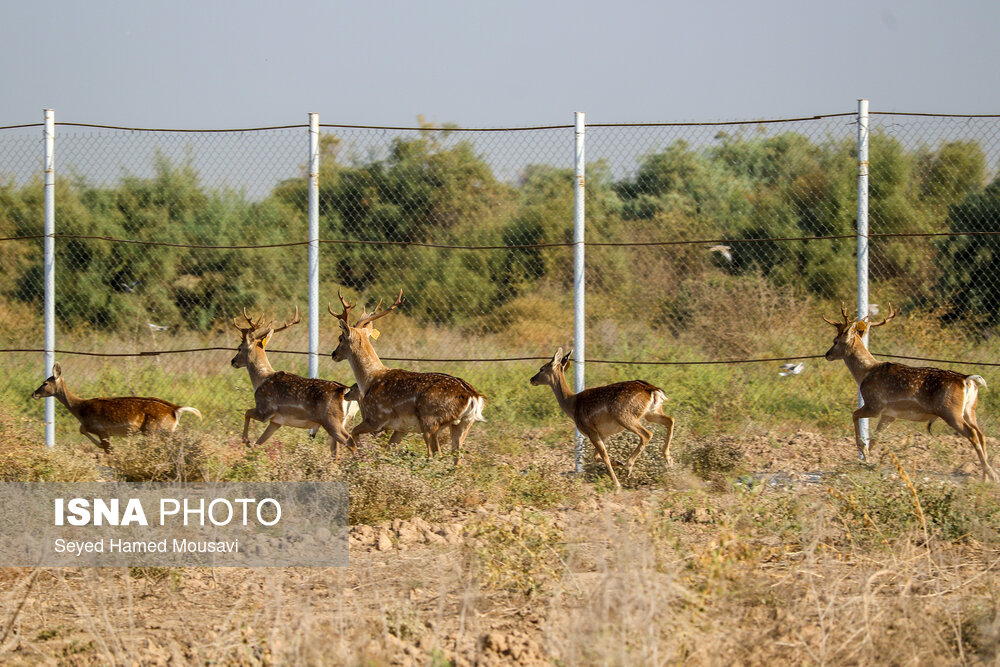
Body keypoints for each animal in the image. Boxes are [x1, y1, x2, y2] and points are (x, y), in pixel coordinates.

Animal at [31, 362, 203, 452]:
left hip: (154, 430)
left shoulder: (101, 429)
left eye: (45, 383)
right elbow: (82, 430)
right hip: (163, 431)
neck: (80, 409)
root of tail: (175, 410)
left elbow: (98, 441)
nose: (34, 394)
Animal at [230, 308, 360, 460]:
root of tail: (345, 390)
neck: (262, 379)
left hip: (332, 421)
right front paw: (252, 451)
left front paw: (246, 441)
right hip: (341, 422)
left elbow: (247, 412)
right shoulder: (276, 422)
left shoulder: (265, 409)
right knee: (337, 452)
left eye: (239, 348)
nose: (233, 361)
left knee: (350, 442)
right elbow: (260, 442)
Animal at [328, 290, 484, 462]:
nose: (334, 354)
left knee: (435, 453)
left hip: (430, 421)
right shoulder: (401, 428)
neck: (370, 380)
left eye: (340, 338)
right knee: (457, 458)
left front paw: (358, 457)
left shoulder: (375, 418)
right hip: (463, 424)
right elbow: (387, 449)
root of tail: (473, 396)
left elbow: (353, 433)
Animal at [528, 350, 676, 490]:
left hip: (624, 416)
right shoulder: (603, 434)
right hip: (651, 413)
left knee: (647, 434)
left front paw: (617, 484)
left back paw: (629, 466)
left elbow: (603, 455)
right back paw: (669, 460)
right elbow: (597, 456)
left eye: (542, 369)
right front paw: (617, 463)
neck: (572, 405)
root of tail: (653, 390)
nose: (531, 379)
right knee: (670, 420)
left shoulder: (590, 430)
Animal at [824, 306, 996, 482]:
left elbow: (854, 415)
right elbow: (876, 438)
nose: (827, 354)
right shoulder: (889, 414)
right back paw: (985, 477)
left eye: (835, 341)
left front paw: (863, 454)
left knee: (973, 433)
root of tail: (967, 380)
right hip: (969, 410)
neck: (865, 373)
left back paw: (991, 474)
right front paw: (866, 463)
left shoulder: (875, 404)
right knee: (981, 433)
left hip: (950, 411)